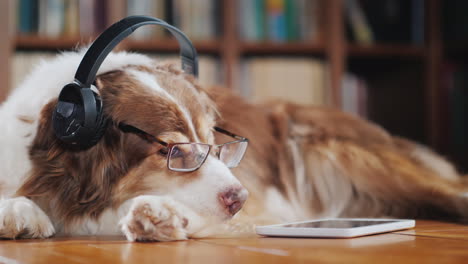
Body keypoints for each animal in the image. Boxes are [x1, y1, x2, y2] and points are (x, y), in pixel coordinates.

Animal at [0, 50, 468, 241]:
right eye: (171, 152)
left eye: (213, 140)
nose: (240, 198)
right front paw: (19, 212)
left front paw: (162, 215)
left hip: (343, 154)